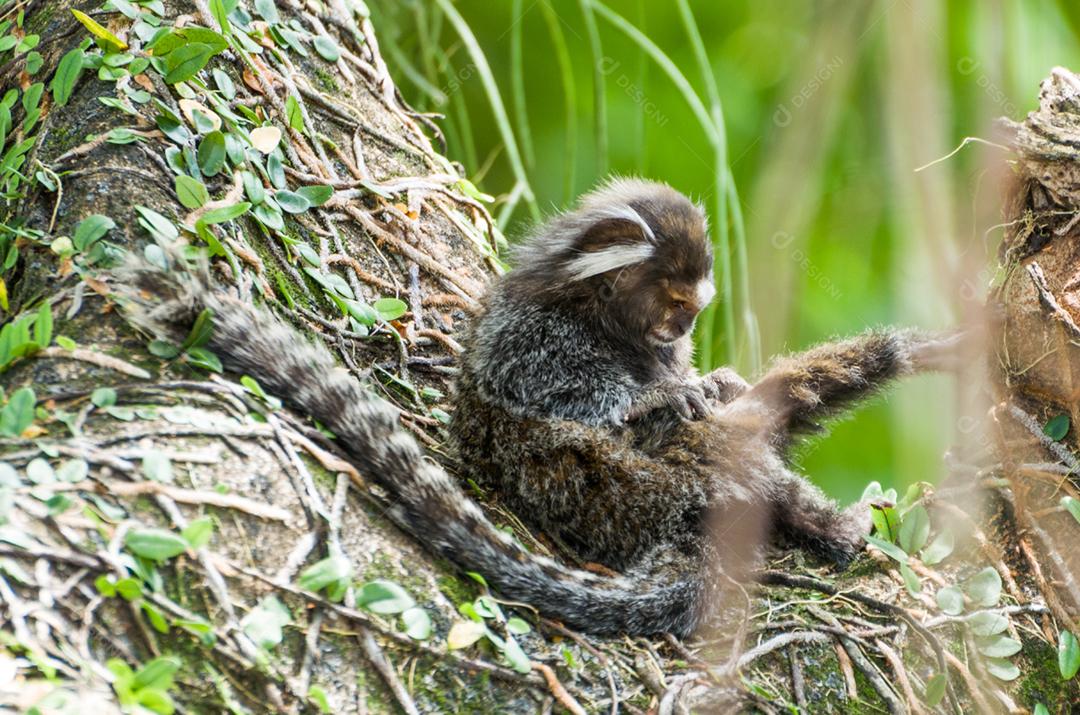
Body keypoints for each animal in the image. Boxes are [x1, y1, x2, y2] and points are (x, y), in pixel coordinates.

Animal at [115, 178, 960, 638]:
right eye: (675, 299)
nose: (681, 329)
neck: (602, 318)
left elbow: (727, 394)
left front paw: (710, 380)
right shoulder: (535, 336)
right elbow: (564, 395)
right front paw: (664, 393)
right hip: (619, 488)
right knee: (677, 449)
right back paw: (823, 523)